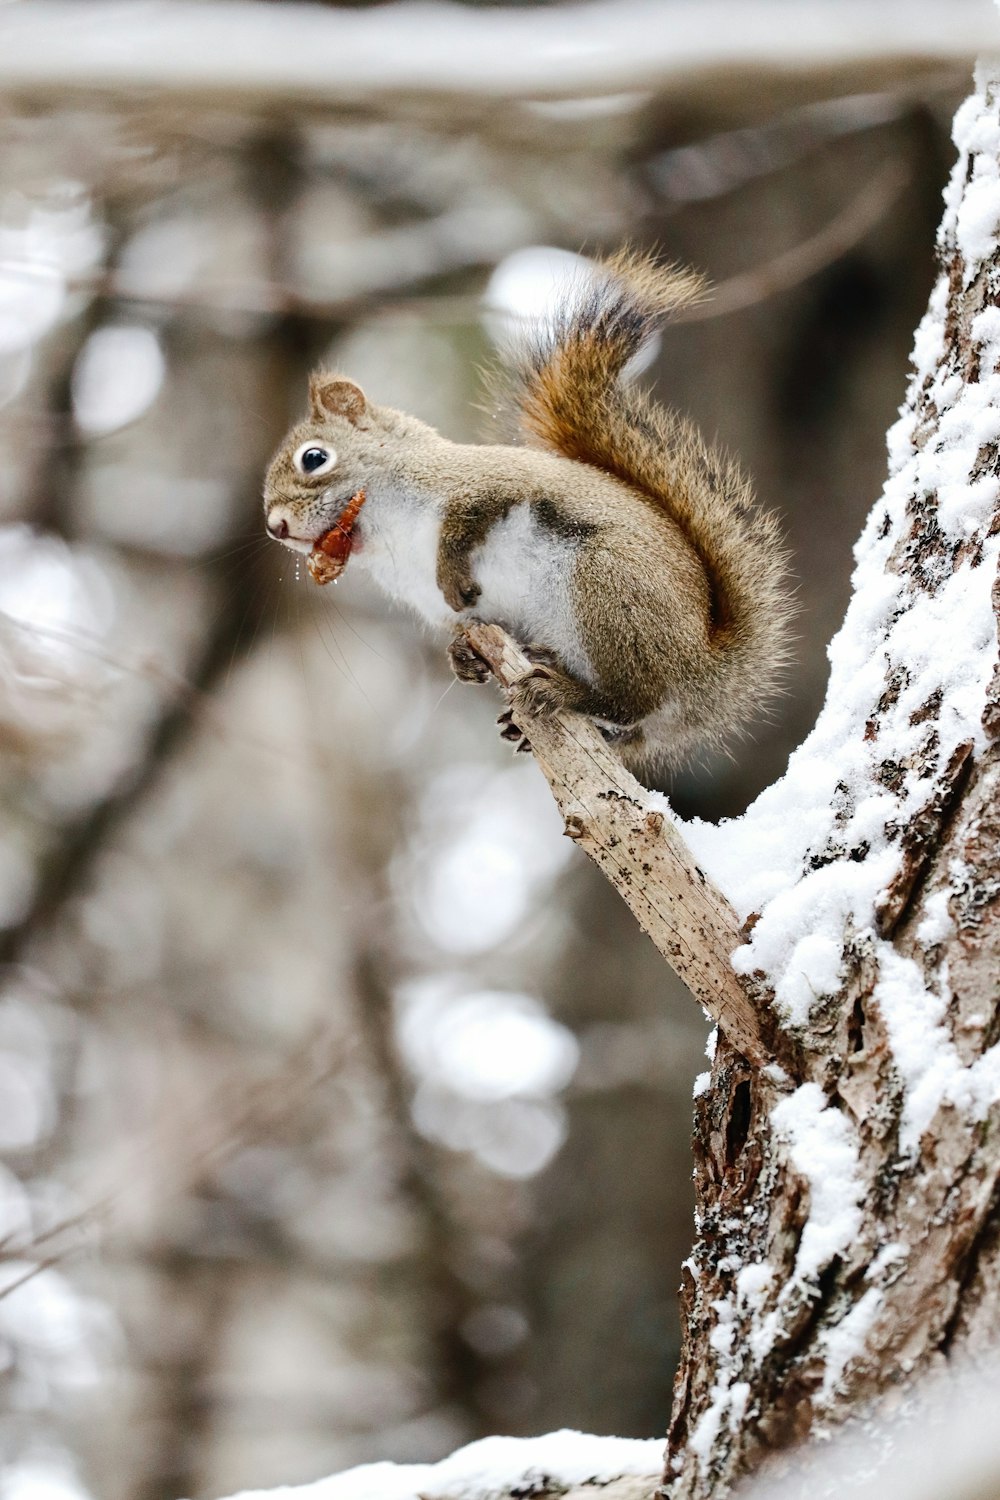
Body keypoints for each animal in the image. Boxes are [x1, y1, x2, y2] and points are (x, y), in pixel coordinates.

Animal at [262, 249, 791, 774]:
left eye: (314, 458)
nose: (275, 528)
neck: (387, 537)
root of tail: (707, 673)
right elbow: (463, 631)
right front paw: (462, 658)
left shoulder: (485, 482)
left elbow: (467, 520)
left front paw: (452, 574)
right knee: (631, 728)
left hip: (610, 586)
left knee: (631, 700)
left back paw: (562, 691)